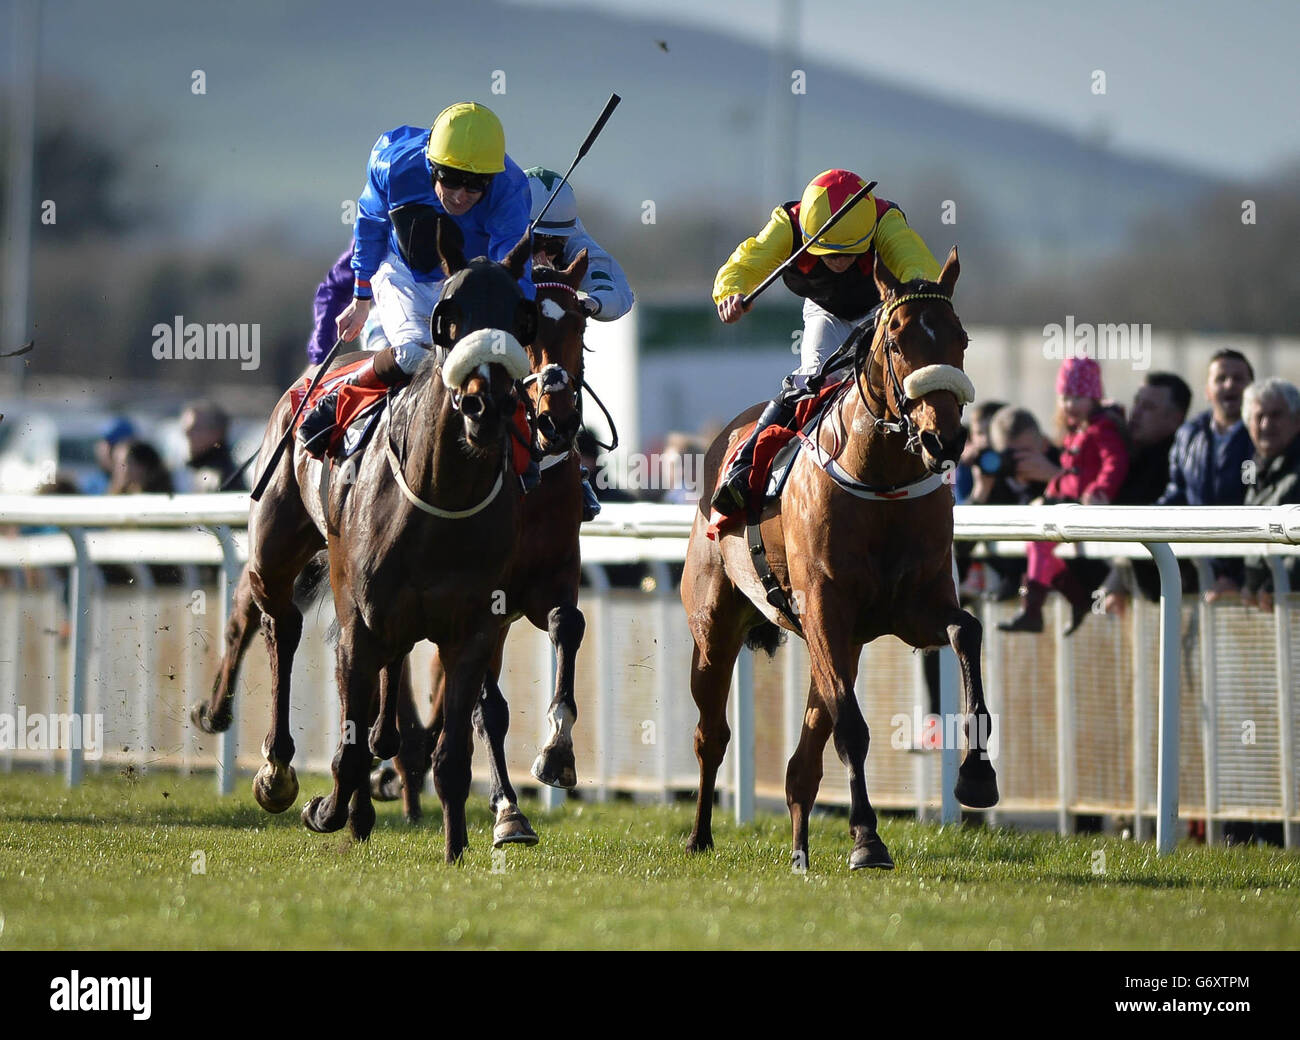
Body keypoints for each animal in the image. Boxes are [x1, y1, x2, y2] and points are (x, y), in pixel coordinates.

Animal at [193, 227, 538, 863]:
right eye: (447, 314)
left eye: (520, 316)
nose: (486, 406)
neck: (439, 497)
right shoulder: (359, 619)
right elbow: (348, 750)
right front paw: (324, 808)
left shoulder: (472, 631)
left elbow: (454, 756)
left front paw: (457, 849)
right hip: (278, 551)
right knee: (279, 625)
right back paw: (277, 770)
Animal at [379, 252, 595, 842]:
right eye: (528, 328)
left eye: (580, 327)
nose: (558, 417)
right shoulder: (484, 602)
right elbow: (487, 708)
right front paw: (508, 809)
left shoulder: (554, 574)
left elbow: (569, 624)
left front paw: (557, 753)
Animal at [686, 249, 998, 868]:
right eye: (897, 341)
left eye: (961, 339)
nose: (945, 440)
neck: (880, 480)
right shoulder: (825, 609)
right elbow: (851, 729)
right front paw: (868, 839)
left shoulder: (912, 608)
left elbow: (967, 631)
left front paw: (977, 775)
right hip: (716, 628)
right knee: (712, 734)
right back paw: (701, 834)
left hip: (839, 643)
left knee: (804, 757)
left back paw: (800, 850)